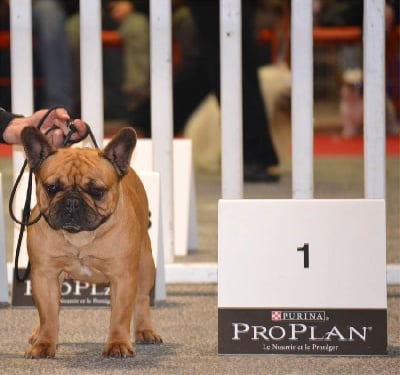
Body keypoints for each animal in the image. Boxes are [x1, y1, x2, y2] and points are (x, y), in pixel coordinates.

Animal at [20, 126, 161, 358]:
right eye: (51, 188)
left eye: (97, 191)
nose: (72, 202)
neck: (81, 236)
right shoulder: (45, 274)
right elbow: (48, 312)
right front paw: (45, 343)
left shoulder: (122, 277)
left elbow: (120, 315)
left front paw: (118, 343)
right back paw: (37, 333)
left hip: (146, 264)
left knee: (141, 298)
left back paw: (145, 331)